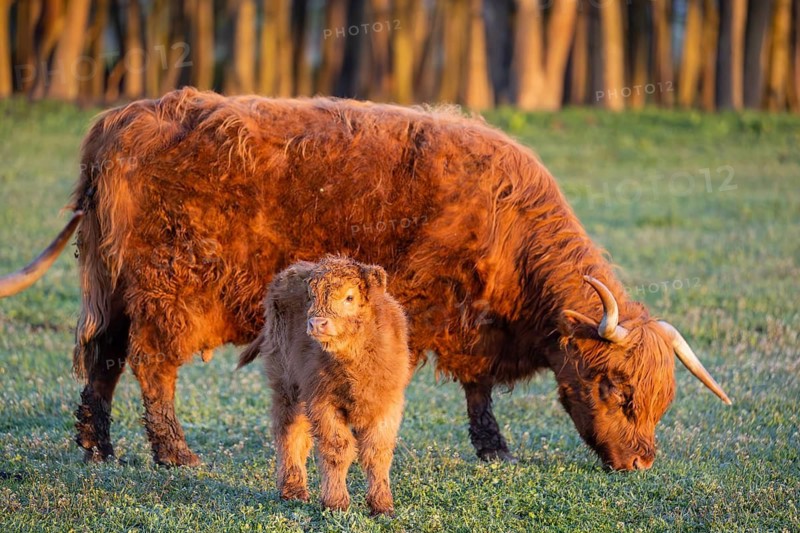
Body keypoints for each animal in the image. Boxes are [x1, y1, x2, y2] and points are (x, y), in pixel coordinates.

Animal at [0, 87, 731, 470]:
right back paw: (175, 454)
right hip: (168, 287)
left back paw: (97, 447)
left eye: (661, 399)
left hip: (114, 285)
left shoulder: (474, 322)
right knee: (151, 363)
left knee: (104, 359)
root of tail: (122, 118)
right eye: (616, 388)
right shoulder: (429, 303)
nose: (641, 460)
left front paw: (494, 449)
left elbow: (477, 389)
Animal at [237, 256, 411, 515]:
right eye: (312, 296)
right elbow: (337, 449)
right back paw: (293, 489)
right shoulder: (322, 401)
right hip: (286, 381)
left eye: (350, 297)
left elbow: (377, 452)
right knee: (290, 430)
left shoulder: (387, 404)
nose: (317, 323)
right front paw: (336, 502)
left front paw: (382, 505)